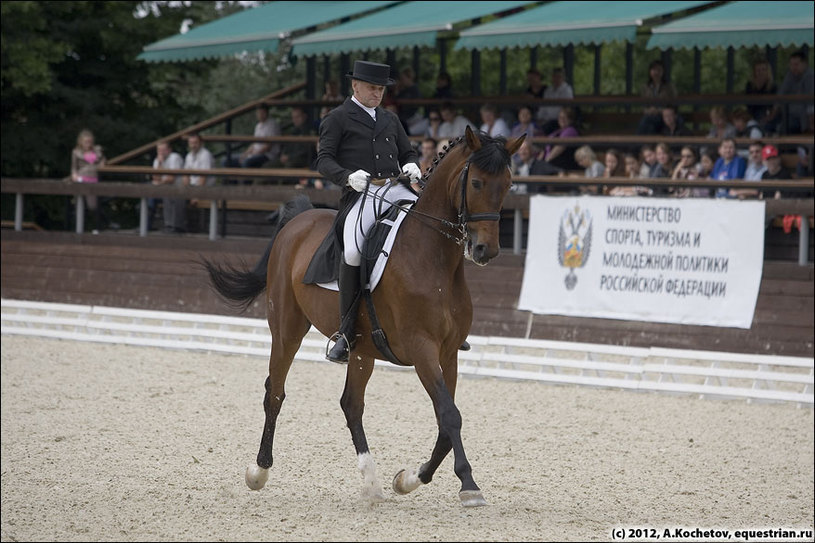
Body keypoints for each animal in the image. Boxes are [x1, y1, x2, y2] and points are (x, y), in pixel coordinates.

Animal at [202, 126, 524, 506]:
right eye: (476, 183)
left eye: (508, 184)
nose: (486, 250)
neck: (433, 259)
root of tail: (299, 220)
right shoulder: (422, 349)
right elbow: (450, 414)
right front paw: (469, 486)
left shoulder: (448, 353)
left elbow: (447, 423)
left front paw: (408, 479)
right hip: (286, 329)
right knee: (275, 393)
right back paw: (259, 471)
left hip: (362, 349)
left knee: (351, 404)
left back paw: (371, 481)